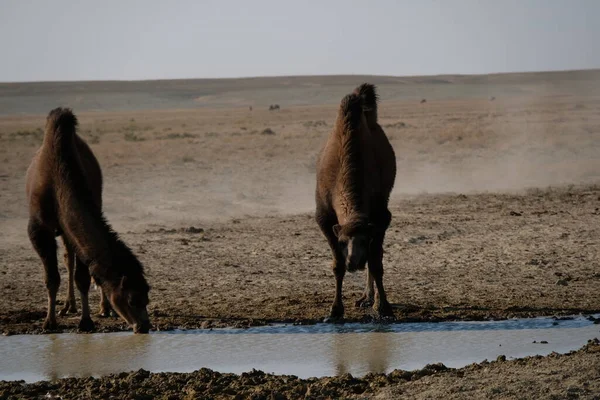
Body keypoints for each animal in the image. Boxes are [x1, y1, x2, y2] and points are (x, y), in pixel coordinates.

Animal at [26, 108, 150, 332]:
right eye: (132, 300)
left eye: (147, 298)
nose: (144, 326)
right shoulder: (38, 230)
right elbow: (51, 278)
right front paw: (49, 322)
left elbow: (83, 276)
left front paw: (86, 321)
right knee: (68, 260)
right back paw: (68, 307)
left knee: (74, 259)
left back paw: (103, 308)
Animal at [314, 84, 398, 322]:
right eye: (343, 241)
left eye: (364, 240)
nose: (354, 262)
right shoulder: (324, 217)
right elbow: (337, 265)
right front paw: (335, 310)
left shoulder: (380, 218)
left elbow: (376, 262)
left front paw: (384, 307)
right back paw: (365, 298)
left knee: (375, 259)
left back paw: (370, 299)